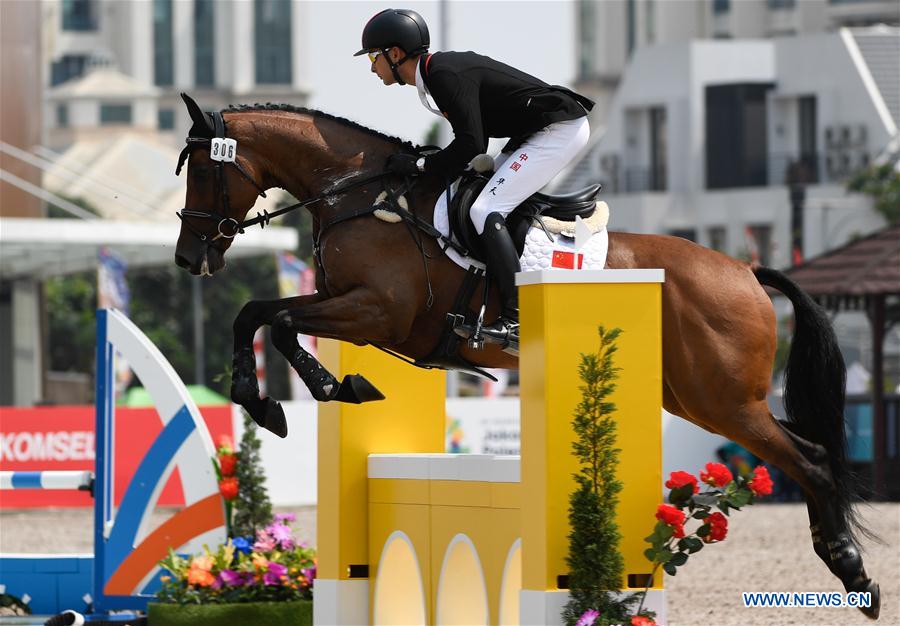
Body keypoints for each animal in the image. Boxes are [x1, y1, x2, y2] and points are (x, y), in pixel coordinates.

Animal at [174, 92, 880, 616]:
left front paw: (316, 393)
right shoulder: (349, 306)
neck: (361, 196)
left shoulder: (376, 311)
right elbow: (258, 314)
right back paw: (843, 564)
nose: (188, 259)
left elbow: (276, 322)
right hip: (697, 398)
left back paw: (855, 576)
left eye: (206, 171)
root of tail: (746, 270)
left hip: (723, 400)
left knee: (813, 460)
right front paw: (280, 398)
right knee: (805, 451)